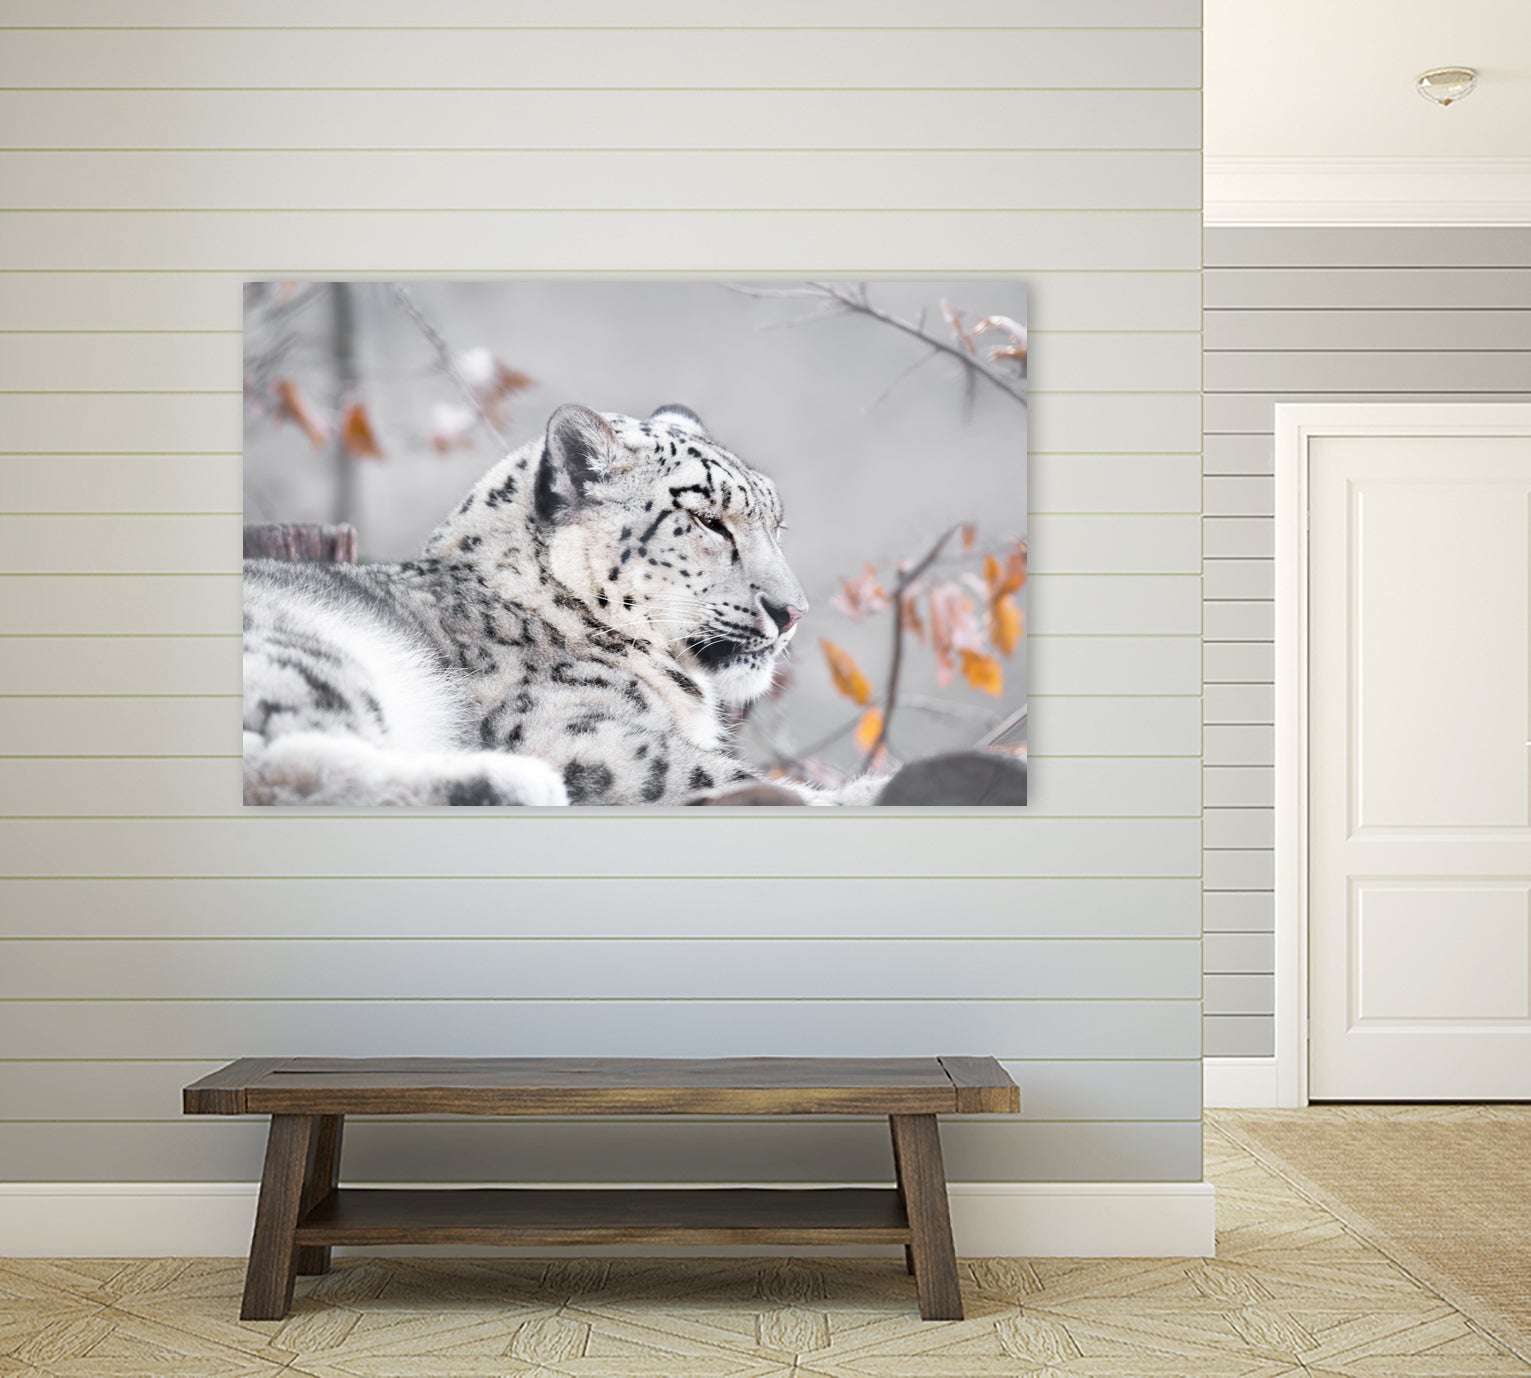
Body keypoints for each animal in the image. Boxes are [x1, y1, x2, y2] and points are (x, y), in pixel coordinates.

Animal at [243, 402, 887, 807]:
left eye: (777, 525)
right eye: (708, 519)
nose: (792, 611)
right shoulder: (590, 738)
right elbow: (705, 773)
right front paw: (864, 789)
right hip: (310, 652)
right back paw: (514, 783)